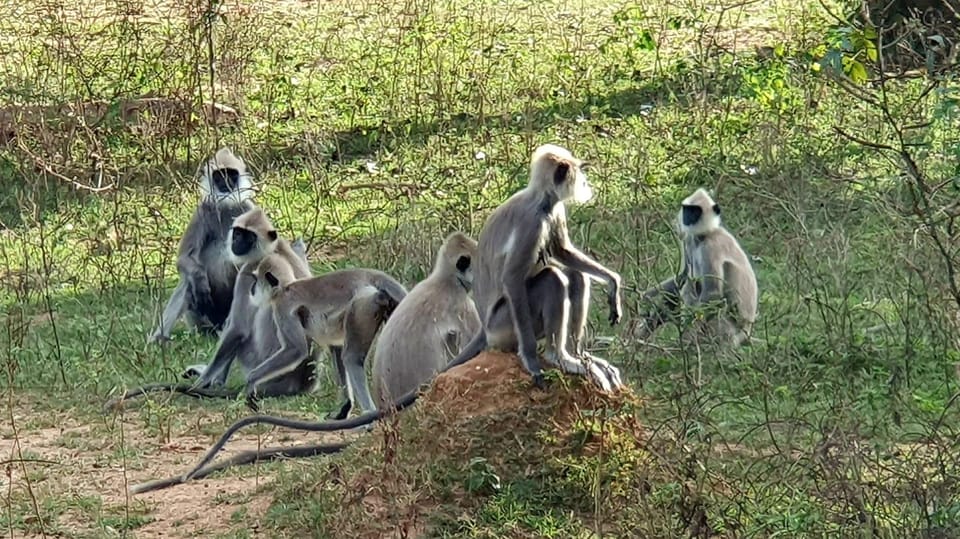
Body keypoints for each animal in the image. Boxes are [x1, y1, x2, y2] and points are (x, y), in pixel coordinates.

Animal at [149, 146, 256, 344]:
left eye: (232, 175)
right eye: (219, 176)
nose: (226, 183)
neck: (225, 206)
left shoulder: (248, 208)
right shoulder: (202, 211)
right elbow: (184, 259)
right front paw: (200, 281)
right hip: (199, 321)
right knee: (187, 280)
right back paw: (160, 339)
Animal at [636, 188, 756, 348]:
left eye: (696, 211)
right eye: (687, 209)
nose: (687, 217)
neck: (704, 236)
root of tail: (746, 332)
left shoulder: (711, 247)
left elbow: (712, 293)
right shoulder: (689, 238)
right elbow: (683, 275)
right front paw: (644, 299)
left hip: (728, 329)